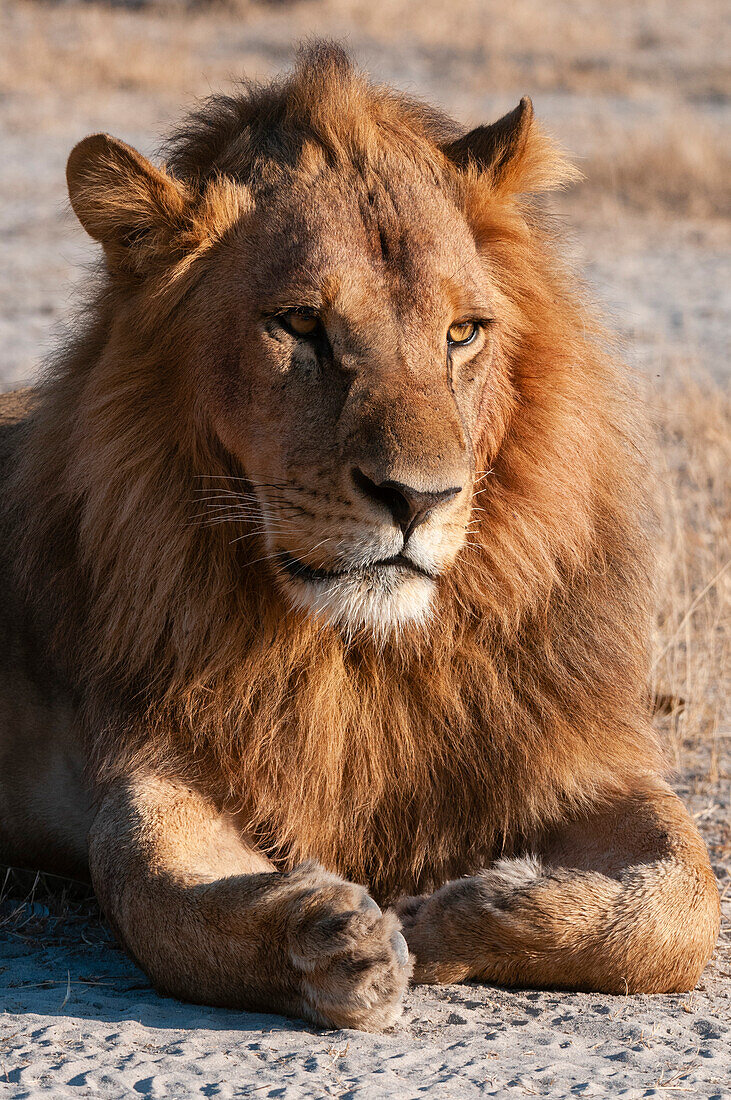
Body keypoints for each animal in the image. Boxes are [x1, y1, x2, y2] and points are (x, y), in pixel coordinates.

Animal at [0, 42, 716, 1034]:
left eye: (462, 332)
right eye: (301, 325)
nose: (417, 498)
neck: (360, 655)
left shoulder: (571, 748)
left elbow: (679, 903)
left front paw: (456, 913)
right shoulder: (150, 757)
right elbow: (151, 889)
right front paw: (331, 938)